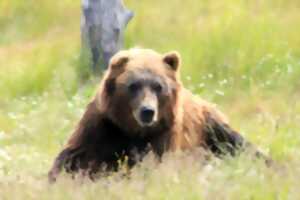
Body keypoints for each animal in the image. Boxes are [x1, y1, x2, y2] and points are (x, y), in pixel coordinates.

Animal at [48, 48, 270, 183]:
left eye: (158, 86)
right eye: (133, 85)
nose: (147, 111)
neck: (133, 131)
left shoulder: (164, 134)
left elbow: (154, 164)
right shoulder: (103, 125)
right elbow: (74, 157)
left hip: (211, 128)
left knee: (241, 146)